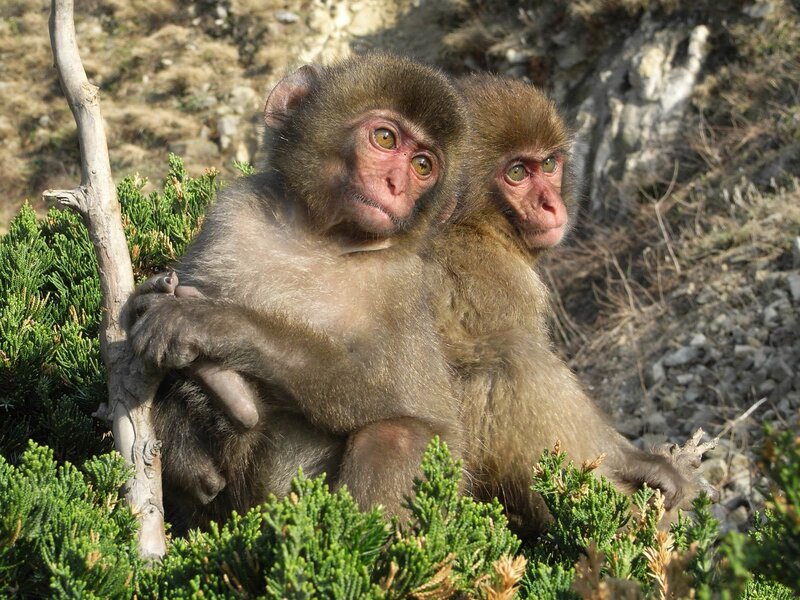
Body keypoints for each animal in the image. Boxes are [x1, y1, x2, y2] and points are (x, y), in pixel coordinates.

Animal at [125, 54, 468, 528]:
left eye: (422, 166)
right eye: (385, 138)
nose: (396, 184)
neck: (320, 238)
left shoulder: (404, 283)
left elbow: (386, 394)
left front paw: (211, 324)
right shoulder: (233, 213)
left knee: (397, 434)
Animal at [427, 73, 701, 536]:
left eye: (549, 165)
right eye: (517, 173)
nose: (551, 205)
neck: (472, 224)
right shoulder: (496, 280)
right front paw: (639, 463)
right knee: (510, 362)